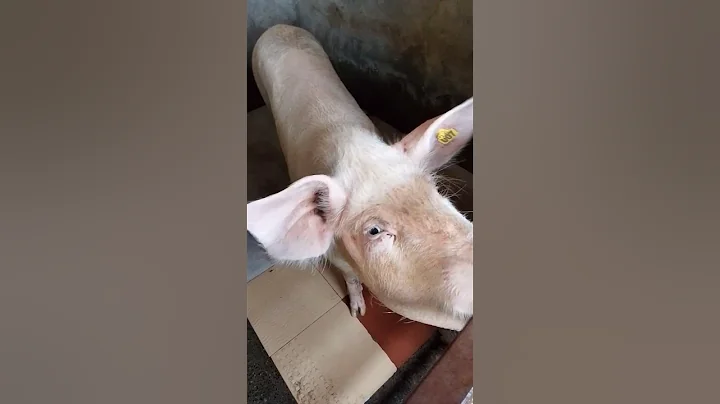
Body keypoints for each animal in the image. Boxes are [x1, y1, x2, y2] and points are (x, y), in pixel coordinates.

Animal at [247, 24, 473, 331]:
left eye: (435, 191)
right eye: (374, 230)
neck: (355, 152)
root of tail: (279, 26)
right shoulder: (336, 257)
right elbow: (352, 280)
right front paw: (358, 313)